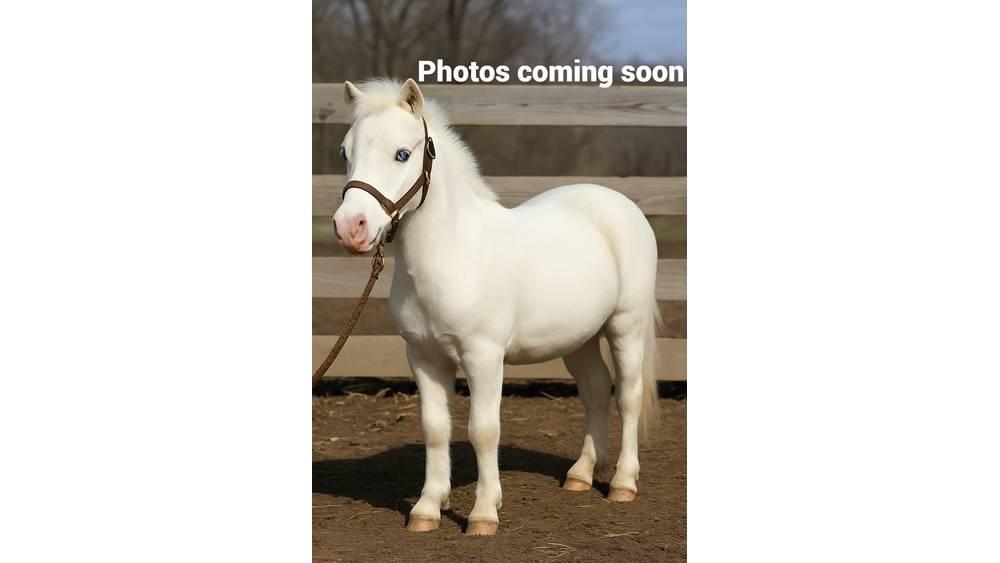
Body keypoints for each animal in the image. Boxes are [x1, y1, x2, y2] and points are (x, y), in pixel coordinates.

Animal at [332, 78, 661, 536]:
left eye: (402, 153)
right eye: (345, 152)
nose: (351, 228)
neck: (454, 254)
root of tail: (618, 202)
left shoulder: (484, 357)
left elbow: (484, 431)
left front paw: (484, 514)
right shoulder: (423, 356)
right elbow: (435, 428)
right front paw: (427, 509)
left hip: (625, 327)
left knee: (627, 397)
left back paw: (623, 484)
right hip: (579, 339)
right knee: (596, 391)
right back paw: (579, 476)